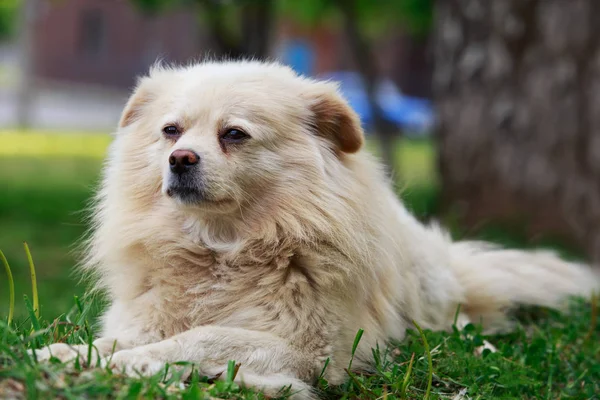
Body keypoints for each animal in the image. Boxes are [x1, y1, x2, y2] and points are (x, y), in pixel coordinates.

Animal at [34, 61, 600, 398]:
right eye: (170, 131)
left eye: (233, 134)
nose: (179, 159)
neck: (222, 247)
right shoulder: (148, 316)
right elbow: (123, 338)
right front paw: (77, 353)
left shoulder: (316, 352)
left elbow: (202, 337)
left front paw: (139, 365)